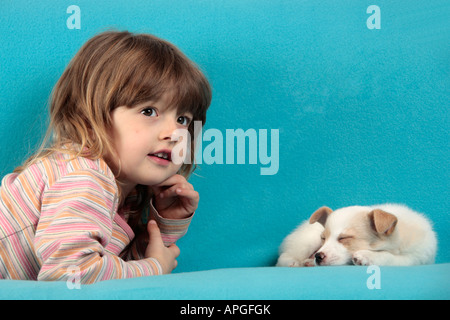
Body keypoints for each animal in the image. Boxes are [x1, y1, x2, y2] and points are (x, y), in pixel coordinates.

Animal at [276, 204, 438, 266]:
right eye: (323, 239)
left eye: (344, 238)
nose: (317, 256)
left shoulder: (415, 258)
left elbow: (389, 257)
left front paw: (368, 256)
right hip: (306, 242)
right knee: (283, 257)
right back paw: (295, 261)